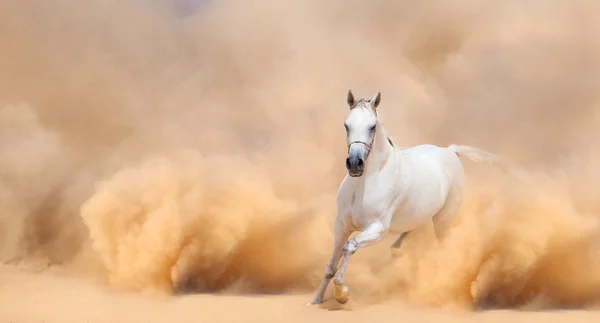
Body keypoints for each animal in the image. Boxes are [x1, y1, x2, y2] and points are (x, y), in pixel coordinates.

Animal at [308, 89, 504, 306]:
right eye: (346, 125)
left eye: (372, 126)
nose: (354, 164)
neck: (364, 184)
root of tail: (451, 151)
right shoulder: (341, 226)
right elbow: (331, 266)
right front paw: (315, 300)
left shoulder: (377, 229)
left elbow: (349, 247)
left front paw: (341, 293)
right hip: (418, 218)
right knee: (400, 244)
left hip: (443, 221)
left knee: (444, 250)